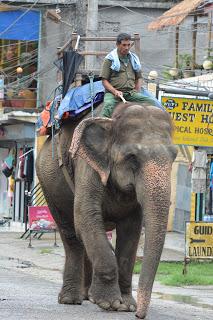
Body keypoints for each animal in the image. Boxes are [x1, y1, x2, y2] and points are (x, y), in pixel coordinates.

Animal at [35, 102, 177, 318]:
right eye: (132, 157)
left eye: (174, 156)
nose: (139, 315)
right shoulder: (87, 164)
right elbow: (85, 215)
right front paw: (109, 303)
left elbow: (131, 230)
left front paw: (125, 306)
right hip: (48, 183)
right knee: (71, 235)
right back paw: (71, 300)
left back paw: (87, 296)